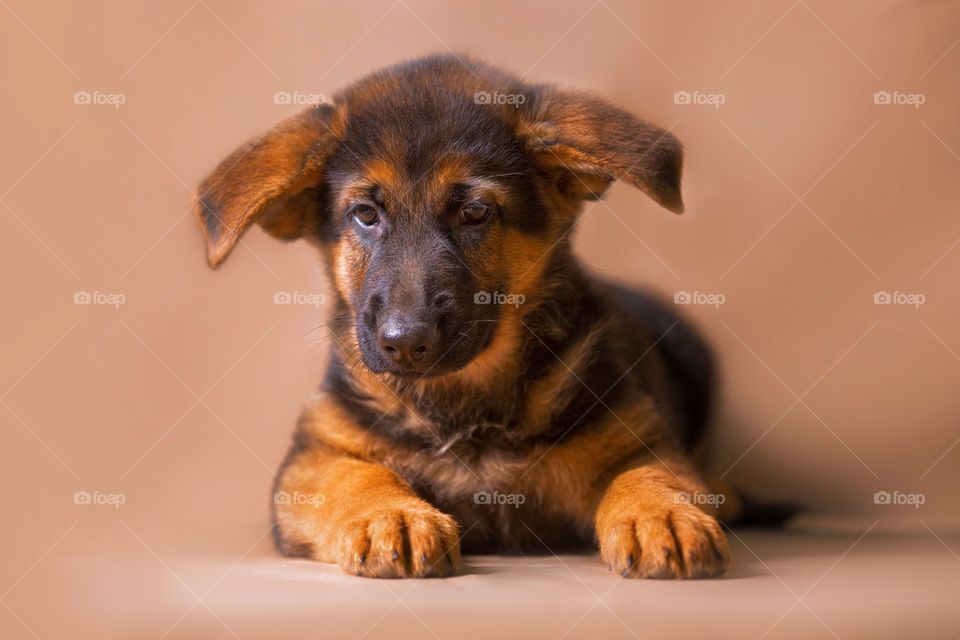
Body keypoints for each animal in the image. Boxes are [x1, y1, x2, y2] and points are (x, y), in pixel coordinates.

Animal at [197, 55, 736, 580]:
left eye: (475, 212)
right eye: (365, 215)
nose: (404, 342)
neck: (465, 405)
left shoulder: (637, 437)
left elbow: (647, 473)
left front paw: (660, 513)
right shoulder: (314, 459)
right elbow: (358, 474)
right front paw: (390, 515)